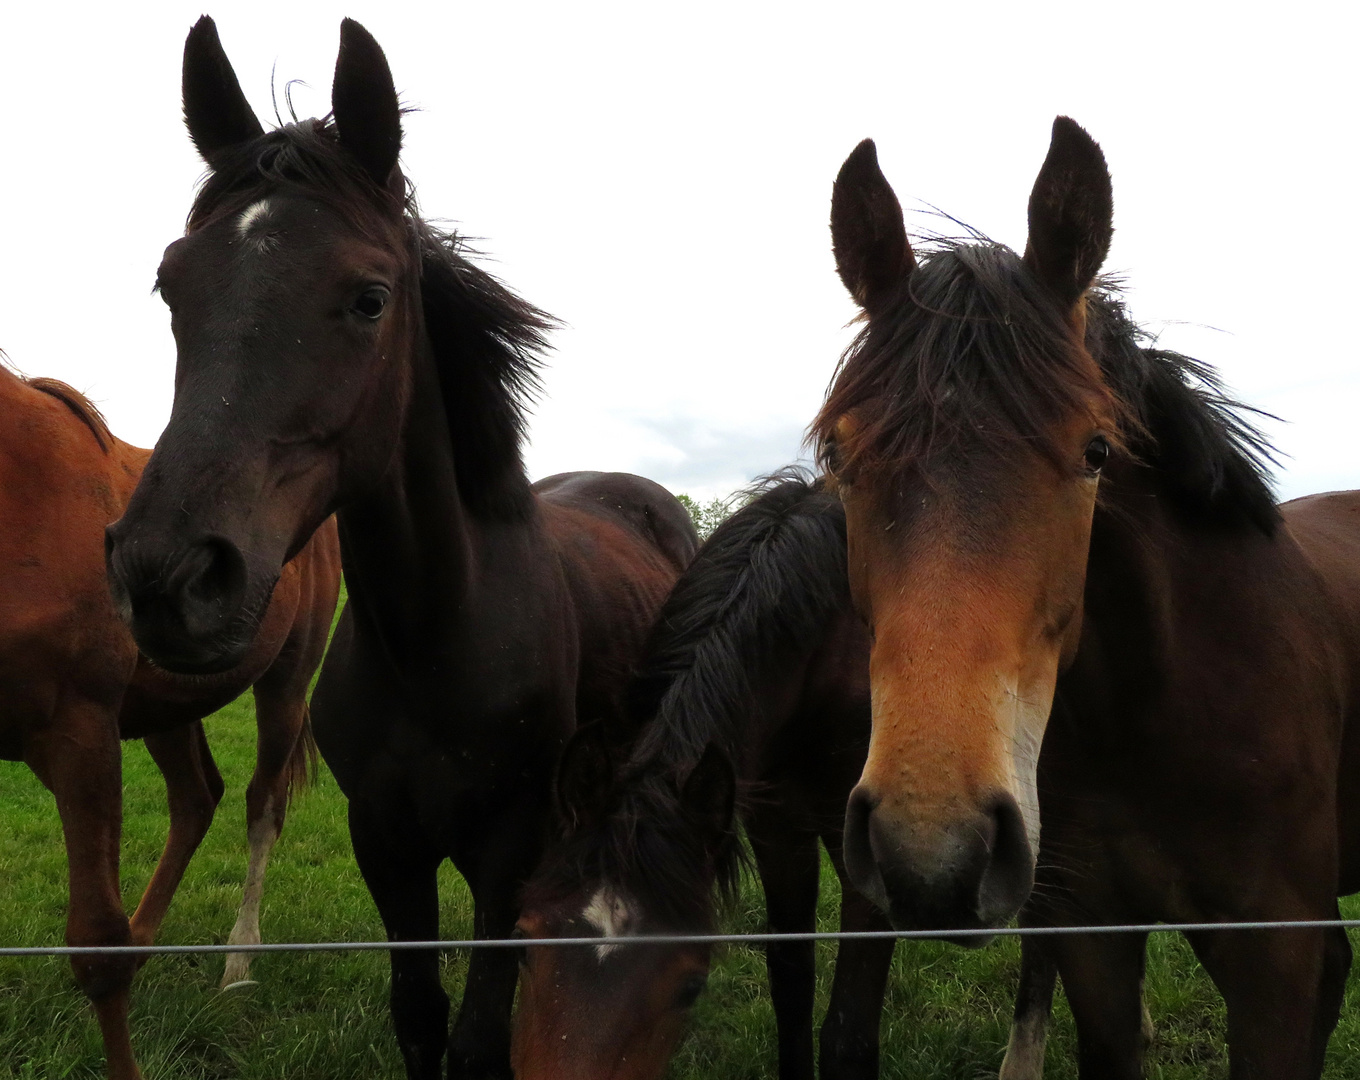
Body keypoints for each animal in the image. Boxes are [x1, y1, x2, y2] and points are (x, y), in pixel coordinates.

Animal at [0, 361, 340, 1077]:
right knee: (196, 798)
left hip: (285, 686)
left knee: (261, 806)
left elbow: (96, 947)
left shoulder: (81, 734)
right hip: (167, 708)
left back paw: (238, 963)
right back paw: (146, 940)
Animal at [103, 16, 701, 1077]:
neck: (441, 634)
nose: (168, 578)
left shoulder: (514, 845)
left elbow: (480, 1033)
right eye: (172, 285)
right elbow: (420, 1015)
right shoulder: (385, 840)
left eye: (370, 298)